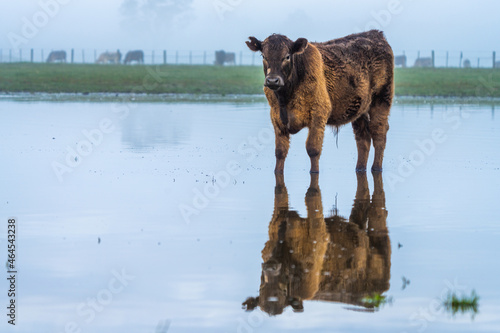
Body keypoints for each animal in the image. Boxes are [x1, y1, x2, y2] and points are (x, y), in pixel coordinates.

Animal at [246, 29, 394, 172]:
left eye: (287, 56)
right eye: (263, 56)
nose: (272, 80)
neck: (286, 97)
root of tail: (376, 34)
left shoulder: (319, 114)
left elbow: (313, 149)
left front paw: (314, 173)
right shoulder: (277, 119)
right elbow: (280, 152)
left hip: (381, 101)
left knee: (379, 135)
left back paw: (376, 168)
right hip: (360, 111)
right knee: (363, 140)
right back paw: (360, 168)